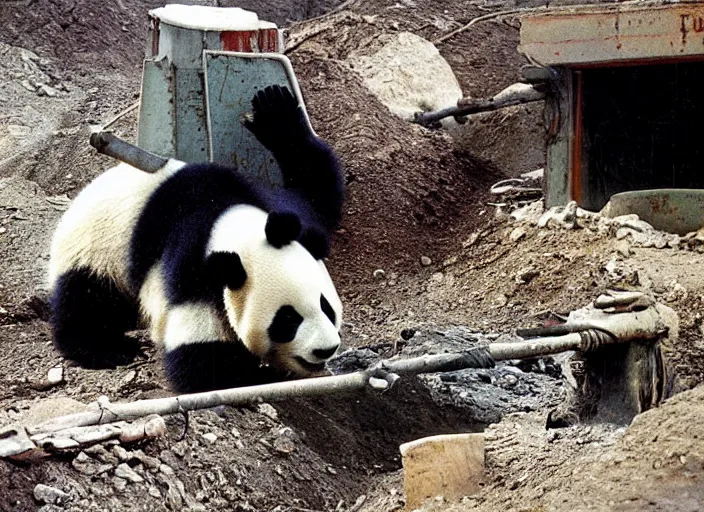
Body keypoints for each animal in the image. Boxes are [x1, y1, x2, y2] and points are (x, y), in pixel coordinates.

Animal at [48, 86, 346, 394]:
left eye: (326, 306)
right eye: (287, 320)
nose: (325, 350)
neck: (229, 220)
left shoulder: (275, 206)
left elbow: (316, 194)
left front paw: (276, 114)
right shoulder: (190, 267)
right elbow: (202, 362)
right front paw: (260, 376)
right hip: (98, 249)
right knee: (88, 300)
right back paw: (108, 349)